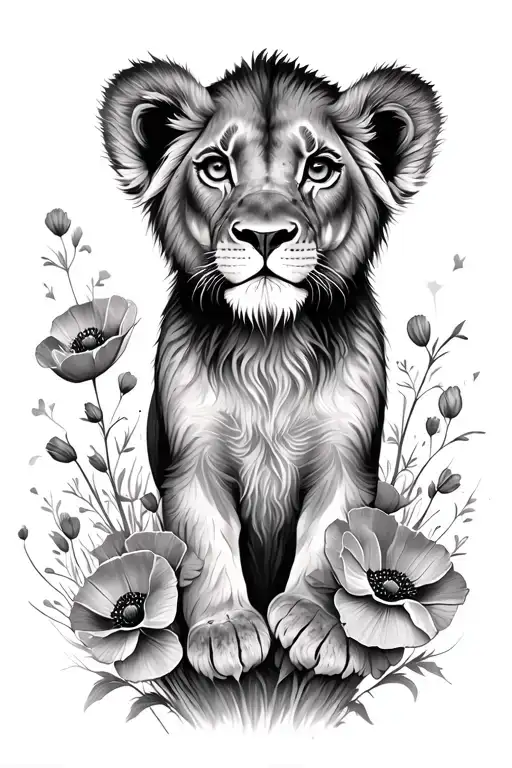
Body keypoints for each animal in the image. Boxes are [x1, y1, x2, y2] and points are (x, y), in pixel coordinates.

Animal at [100, 52, 441, 681]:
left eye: (321, 168)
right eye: (215, 167)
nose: (265, 236)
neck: (269, 347)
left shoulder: (345, 456)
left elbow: (331, 537)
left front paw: (317, 627)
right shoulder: (192, 460)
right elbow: (208, 542)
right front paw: (226, 632)